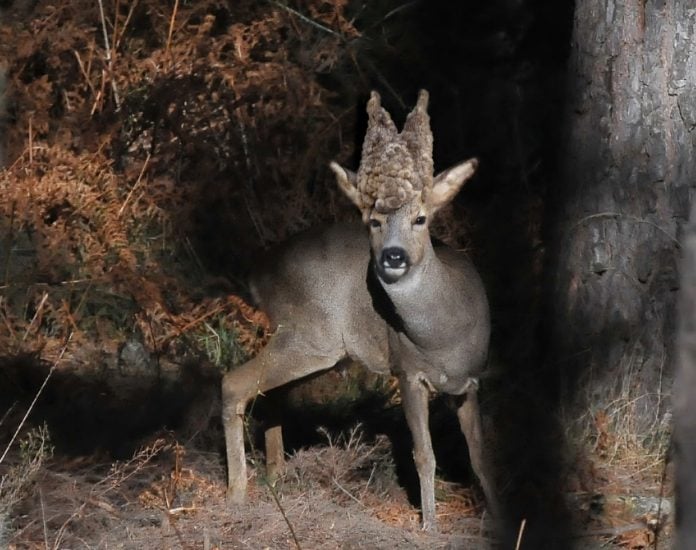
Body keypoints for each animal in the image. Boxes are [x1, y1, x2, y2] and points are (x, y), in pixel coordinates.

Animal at [220, 90, 498, 536]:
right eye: (373, 222)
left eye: (421, 218)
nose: (393, 256)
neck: (443, 334)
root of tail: (256, 273)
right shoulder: (407, 371)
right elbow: (424, 455)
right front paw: (430, 527)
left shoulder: (471, 382)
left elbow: (480, 456)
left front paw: (499, 517)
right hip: (306, 335)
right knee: (234, 383)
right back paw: (237, 495)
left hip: (320, 351)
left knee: (270, 393)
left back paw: (276, 478)